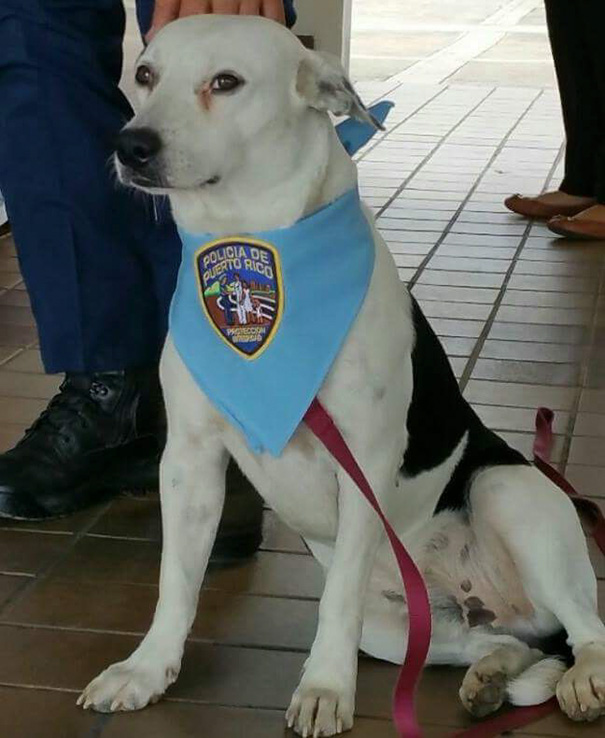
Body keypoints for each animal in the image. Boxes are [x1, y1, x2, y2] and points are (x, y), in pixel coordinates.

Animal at [79, 17, 604, 736]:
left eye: (225, 82)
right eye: (145, 75)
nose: (131, 146)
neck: (250, 239)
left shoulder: (362, 461)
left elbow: (334, 602)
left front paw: (325, 687)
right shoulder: (188, 459)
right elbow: (176, 580)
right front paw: (147, 668)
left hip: (507, 492)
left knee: (586, 631)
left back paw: (584, 680)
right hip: (400, 631)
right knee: (504, 644)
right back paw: (490, 678)